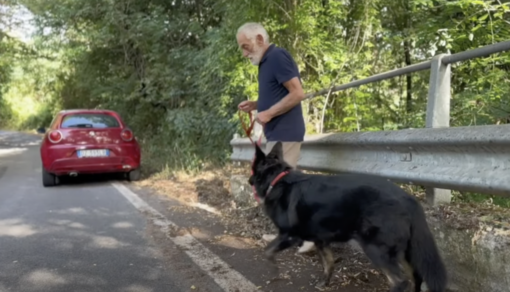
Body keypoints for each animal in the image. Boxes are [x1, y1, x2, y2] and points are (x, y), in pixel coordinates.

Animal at [247, 143, 446, 292]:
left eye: (252, 169)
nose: (249, 181)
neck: (277, 180)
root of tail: (408, 199)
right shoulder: (321, 240)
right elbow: (329, 263)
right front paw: (324, 283)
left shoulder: (289, 235)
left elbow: (267, 251)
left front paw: (274, 270)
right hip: (404, 251)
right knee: (416, 277)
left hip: (376, 249)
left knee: (400, 282)